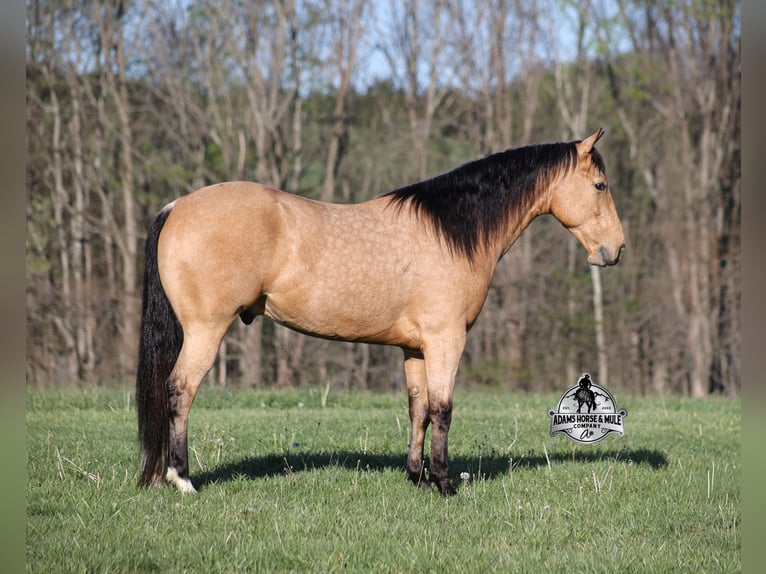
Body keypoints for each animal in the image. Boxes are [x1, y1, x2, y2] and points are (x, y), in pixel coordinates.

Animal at [136, 128, 625, 496]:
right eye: (600, 186)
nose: (615, 250)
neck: (452, 233)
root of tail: (176, 207)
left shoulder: (414, 348)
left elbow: (418, 409)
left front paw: (416, 478)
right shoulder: (446, 339)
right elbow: (443, 408)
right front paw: (444, 484)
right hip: (206, 330)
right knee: (180, 390)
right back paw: (182, 479)